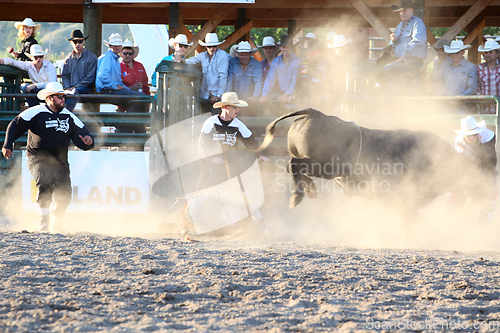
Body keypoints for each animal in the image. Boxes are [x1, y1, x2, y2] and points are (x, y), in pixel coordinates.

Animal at [258, 107, 488, 214]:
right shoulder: (408, 203)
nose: (489, 192)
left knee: (293, 167)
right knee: (294, 165)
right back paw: (297, 196)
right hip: (329, 165)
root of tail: (316, 114)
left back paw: (309, 189)